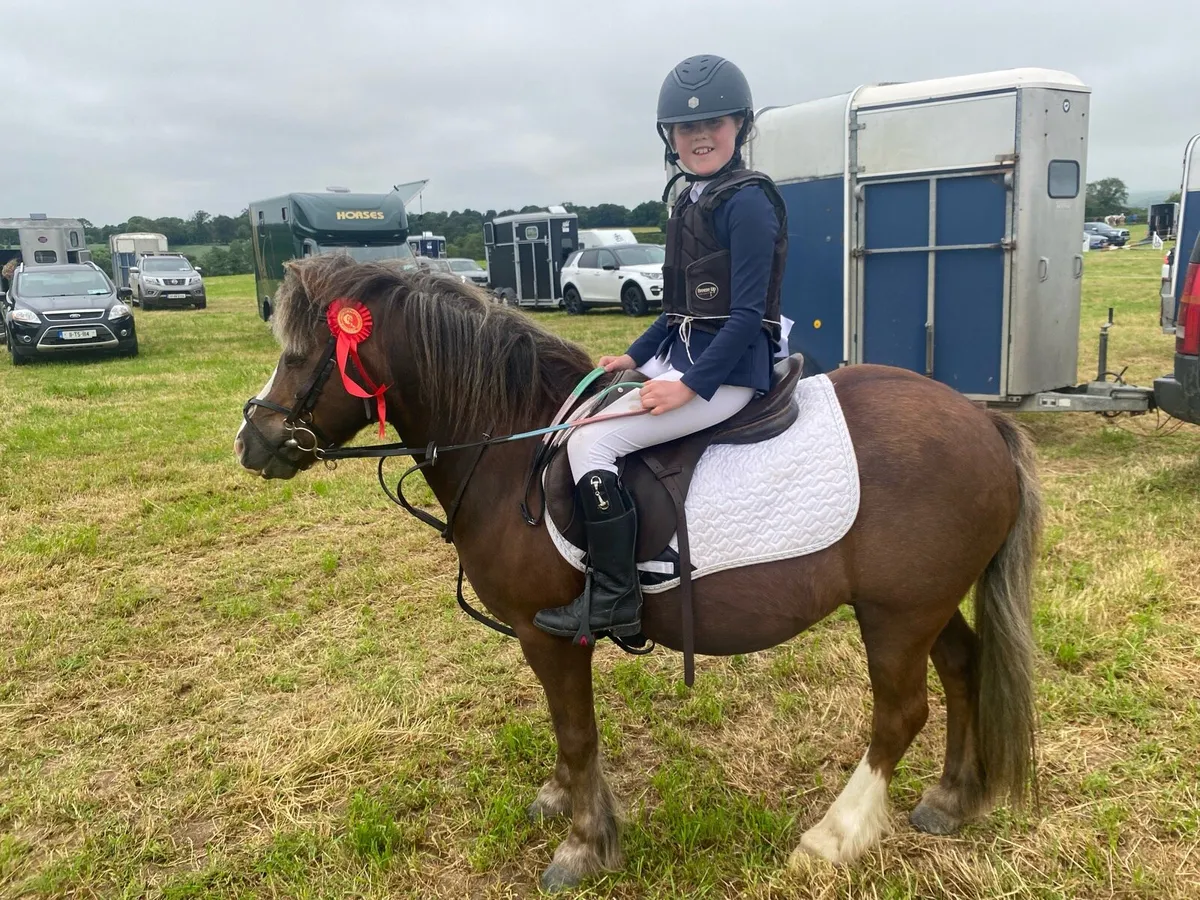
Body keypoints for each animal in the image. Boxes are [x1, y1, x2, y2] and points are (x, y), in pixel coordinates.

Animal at [234, 254, 1043, 891]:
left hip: (896, 615)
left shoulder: (549, 634)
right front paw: (562, 800)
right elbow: (568, 735)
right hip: (922, 606)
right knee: (964, 668)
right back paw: (950, 800)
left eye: (302, 357)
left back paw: (832, 838)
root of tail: (984, 423)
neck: (512, 445)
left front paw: (583, 845)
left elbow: (575, 731)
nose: (252, 441)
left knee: (901, 712)